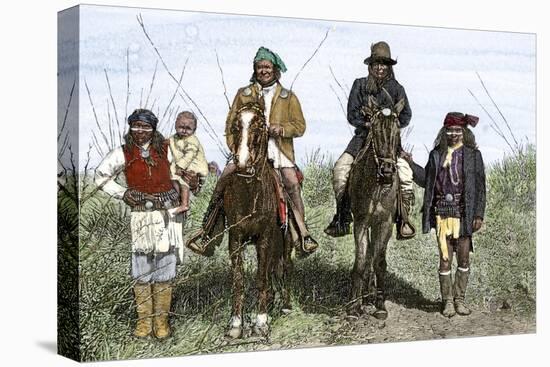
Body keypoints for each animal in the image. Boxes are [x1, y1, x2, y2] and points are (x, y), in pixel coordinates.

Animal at [223, 102, 294, 338]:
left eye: (259, 127)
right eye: (235, 127)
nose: (243, 163)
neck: (250, 194)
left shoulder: (265, 238)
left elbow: (261, 276)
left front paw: (261, 322)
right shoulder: (235, 239)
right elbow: (238, 280)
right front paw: (236, 324)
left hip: (284, 243)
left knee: (283, 268)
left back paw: (284, 305)